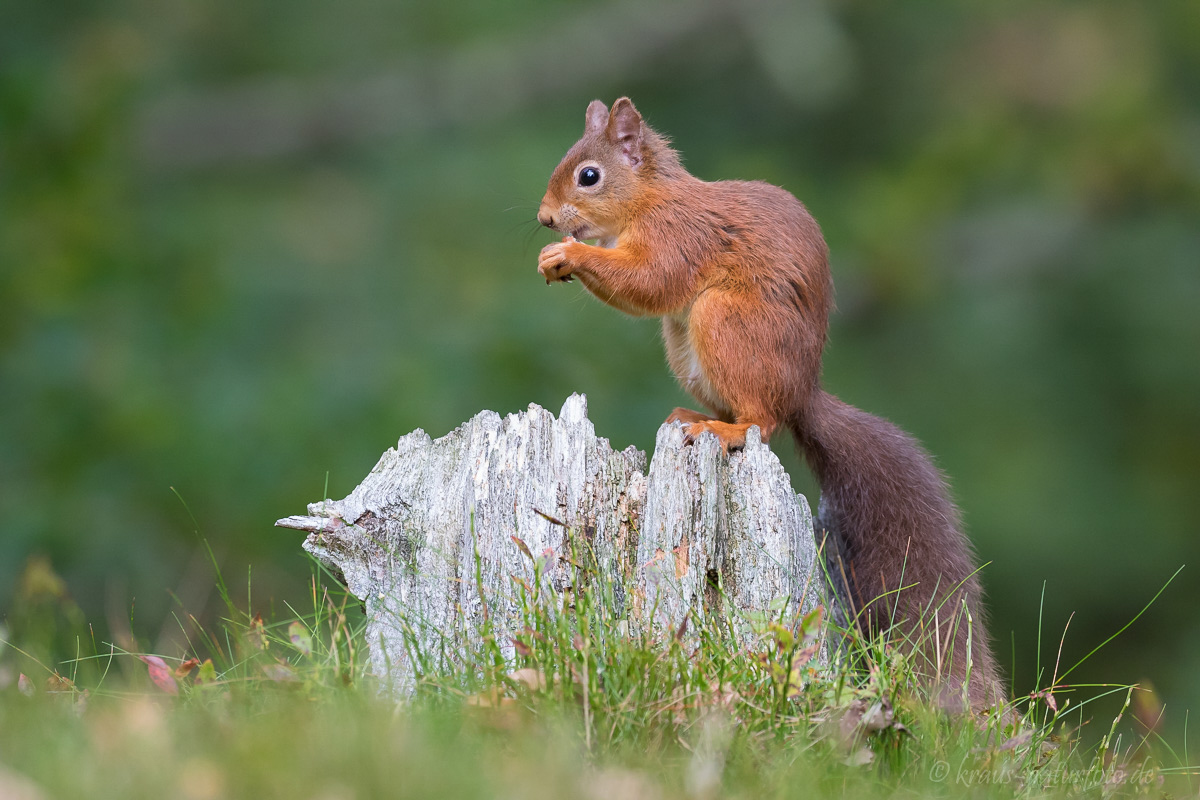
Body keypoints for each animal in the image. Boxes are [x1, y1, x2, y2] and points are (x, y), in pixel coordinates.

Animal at [540, 98, 998, 705]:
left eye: (589, 176)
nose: (545, 219)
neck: (651, 199)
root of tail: (802, 392)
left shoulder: (678, 237)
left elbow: (650, 281)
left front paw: (568, 253)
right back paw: (697, 416)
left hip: (726, 324)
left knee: (763, 420)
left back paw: (727, 431)